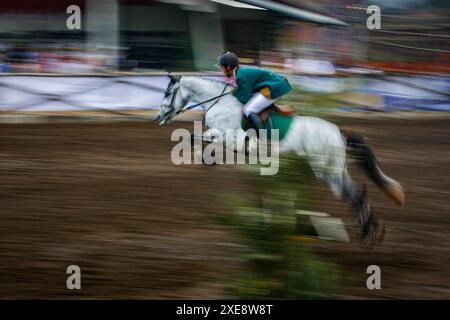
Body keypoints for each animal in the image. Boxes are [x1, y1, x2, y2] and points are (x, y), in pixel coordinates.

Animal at [156, 75, 404, 245]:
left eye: (167, 94)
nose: (159, 117)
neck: (220, 103)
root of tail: (339, 132)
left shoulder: (229, 137)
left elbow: (194, 137)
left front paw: (205, 157)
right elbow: (198, 138)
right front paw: (208, 158)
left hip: (327, 171)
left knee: (354, 194)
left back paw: (369, 233)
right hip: (333, 170)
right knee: (357, 192)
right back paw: (372, 230)